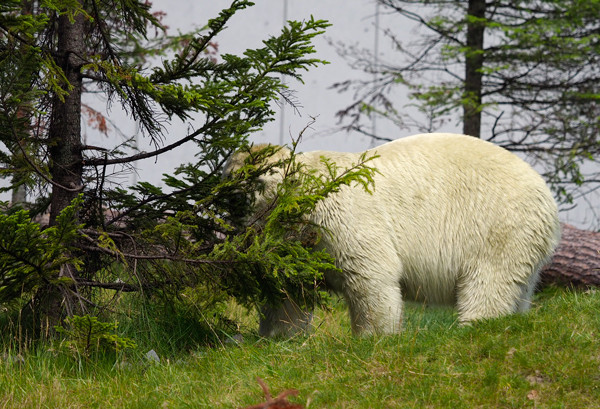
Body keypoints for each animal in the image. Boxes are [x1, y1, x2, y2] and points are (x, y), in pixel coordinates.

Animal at [224, 133, 556, 334]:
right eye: (229, 177)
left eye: (254, 180)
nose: (231, 200)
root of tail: (546, 195)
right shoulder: (293, 244)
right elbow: (288, 290)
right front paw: (278, 337)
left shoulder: (342, 219)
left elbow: (372, 276)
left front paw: (374, 337)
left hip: (498, 223)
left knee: (489, 283)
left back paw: (475, 326)